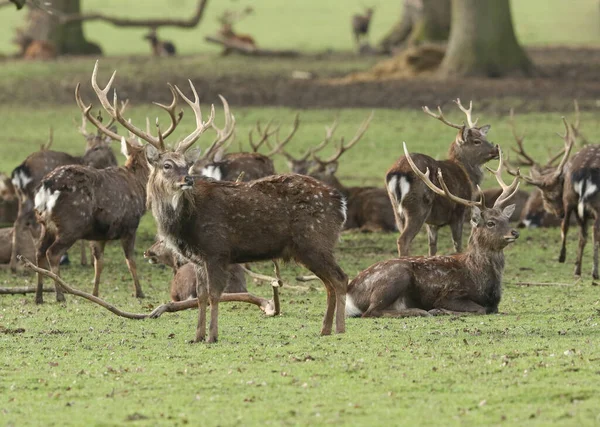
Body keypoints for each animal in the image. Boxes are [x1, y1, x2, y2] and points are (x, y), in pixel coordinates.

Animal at [346, 143, 520, 318]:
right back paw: (420, 311)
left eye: (507, 219)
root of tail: (350, 294)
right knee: (371, 311)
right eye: (491, 223)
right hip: (397, 274)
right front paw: (439, 310)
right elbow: (479, 308)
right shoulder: (450, 293)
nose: (514, 233)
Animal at [386, 100, 500, 258]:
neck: (467, 174)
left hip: (396, 210)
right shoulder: (459, 211)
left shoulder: (433, 223)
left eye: (485, 138)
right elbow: (458, 245)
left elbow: (432, 248)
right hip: (417, 207)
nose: (496, 150)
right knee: (403, 239)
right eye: (477, 141)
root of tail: (398, 173)